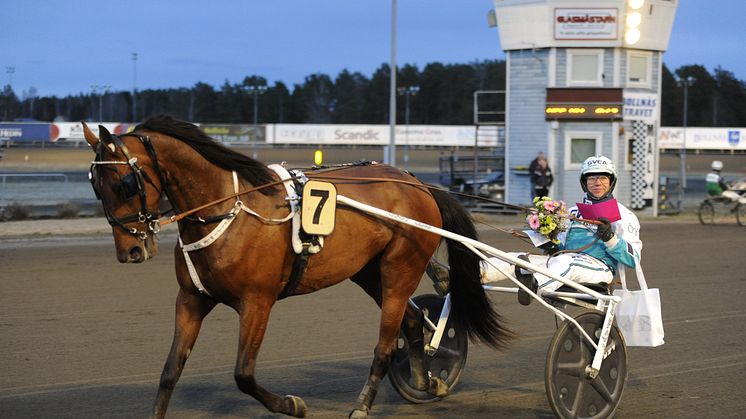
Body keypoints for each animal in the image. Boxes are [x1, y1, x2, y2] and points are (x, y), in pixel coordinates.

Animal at [83, 115, 512, 419]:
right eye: (94, 185)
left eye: (124, 182)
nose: (130, 251)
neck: (229, 208)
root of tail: (418, 183)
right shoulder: (191, 299)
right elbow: (170, 371)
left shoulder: (257, 302)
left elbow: (243, 374)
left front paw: (293, 404)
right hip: (369, 272)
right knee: (410, 323)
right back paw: (428, 381)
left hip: (399, 269)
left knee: (386, 344)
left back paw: (363, 405)